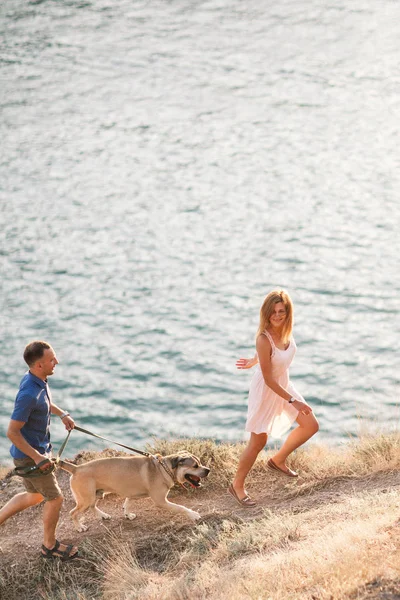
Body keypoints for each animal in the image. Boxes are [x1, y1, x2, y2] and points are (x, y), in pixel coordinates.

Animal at [59, 452, 211, 532]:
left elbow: (128, 502)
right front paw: (193, 514)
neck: (164, 468)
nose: (208, 470)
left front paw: (127, 514)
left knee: (92, 506)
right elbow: (181, 507)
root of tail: (76, 468)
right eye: (195, 466)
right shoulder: (161, 501)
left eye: (200, 463)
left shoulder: (132, 493)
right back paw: (79, 527)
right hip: (86, 498)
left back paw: (103, 515)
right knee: (73, 513)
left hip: (96, 493)